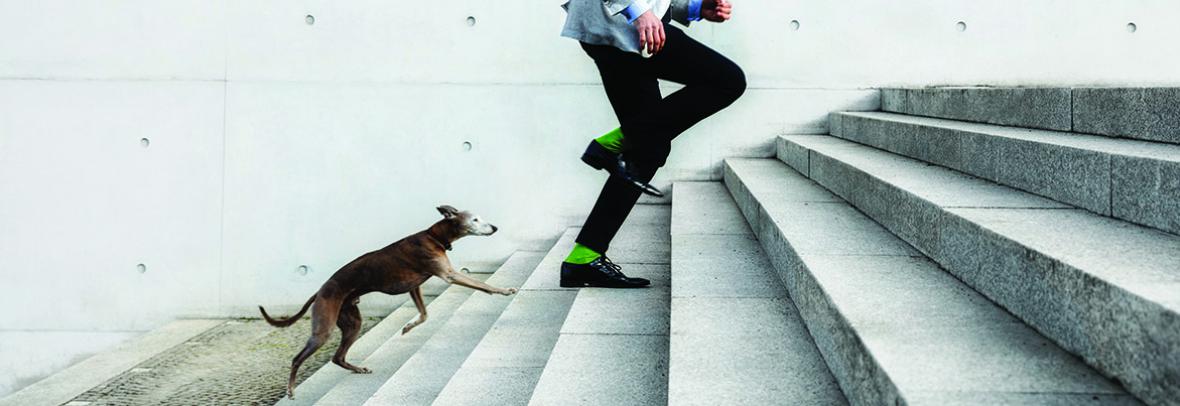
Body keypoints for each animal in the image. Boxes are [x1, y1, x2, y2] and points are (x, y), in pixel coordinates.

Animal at [258, 204, 516, 398]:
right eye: (475, 219)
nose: (495, 227)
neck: (433, 236)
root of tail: (320, 290)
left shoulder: (415, 287)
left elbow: (424, 314)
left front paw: (408, 327)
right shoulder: (449, 275)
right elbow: (483, 286)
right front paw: (504, 290)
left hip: (352, 321)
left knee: (337, 357)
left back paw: (357, 368)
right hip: (324, 329)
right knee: (297, 358)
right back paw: (291, 390)